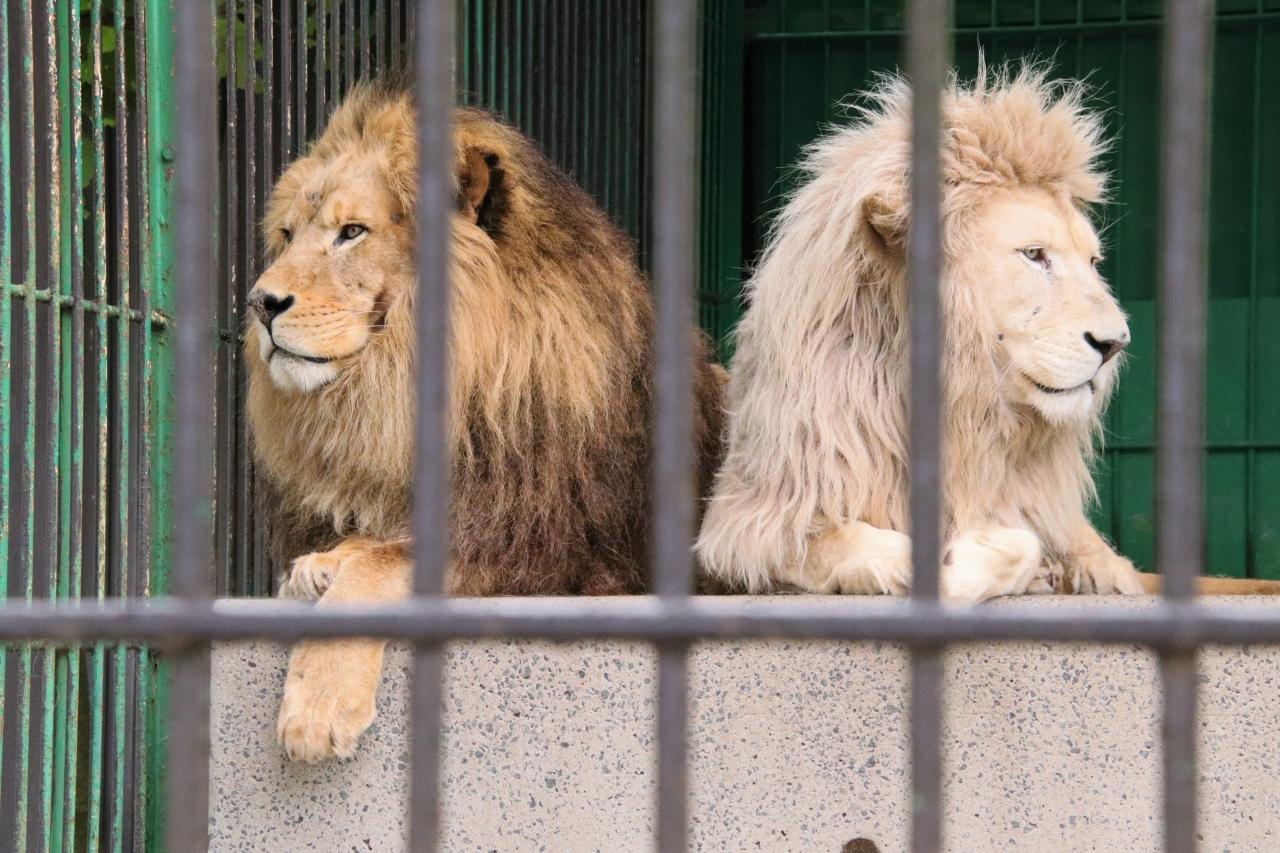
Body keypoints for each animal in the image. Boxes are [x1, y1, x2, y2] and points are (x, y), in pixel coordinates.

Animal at [245, 79, 725, 762]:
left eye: (352, 232)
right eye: (287, 236)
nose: (260, 303)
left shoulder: (546, 557)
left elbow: (380, 568)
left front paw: (315, 710)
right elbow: (370, 547)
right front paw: (318, 564)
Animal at [696, 65, 1280, 602]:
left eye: (1093, 262)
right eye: (1034, 255)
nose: (1116, 344)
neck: (960, 406)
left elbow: (1036, 543)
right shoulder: (749, 525)